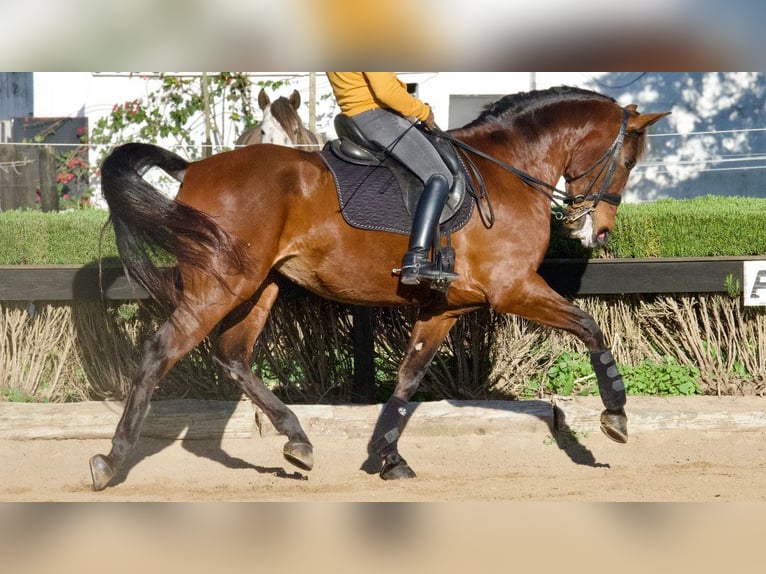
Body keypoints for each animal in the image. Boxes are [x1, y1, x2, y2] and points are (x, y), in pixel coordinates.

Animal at [88, 85, 664, 490]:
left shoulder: (445, 309)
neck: (508, 172)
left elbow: (408, 379)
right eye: (627, 161)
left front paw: (389, 456)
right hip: (220, 286)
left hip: (257, 286)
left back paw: (297, 440)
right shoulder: (514, 288)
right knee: (161, 351)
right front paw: (616, 415)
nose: (597, 231)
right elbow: (589, 326)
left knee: (231, 354)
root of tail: (193, 167)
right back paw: (111, 462)